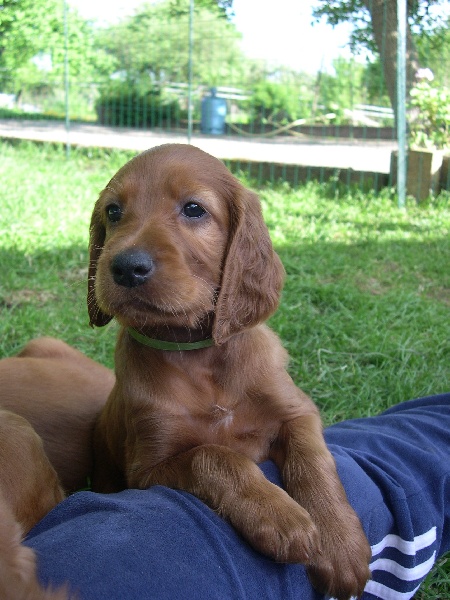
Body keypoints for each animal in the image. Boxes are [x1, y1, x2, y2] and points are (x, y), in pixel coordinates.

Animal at [89, 143, 372, 596]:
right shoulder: (146, 469)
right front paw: (280, 516)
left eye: (194, 209)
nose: (125, 266)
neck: (198, 357)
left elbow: (314, 461)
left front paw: (338, 542)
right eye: (113, 212)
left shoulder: (298, 412)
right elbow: (212, 456)